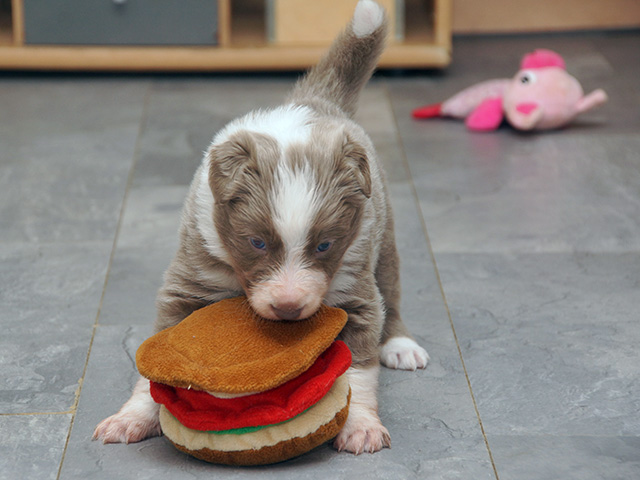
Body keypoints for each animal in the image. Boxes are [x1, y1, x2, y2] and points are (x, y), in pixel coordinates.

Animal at [93, 0, 429, 455]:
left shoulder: (353, 286)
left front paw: (360, 425)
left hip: (384, 236)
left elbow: (358, 369)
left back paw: (401, 345)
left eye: (324, 246)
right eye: (255, 242)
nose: (287, 308)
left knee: (390, 294)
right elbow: (155, 366)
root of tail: (313, 100)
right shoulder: (190, 279)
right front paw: (131, 417)